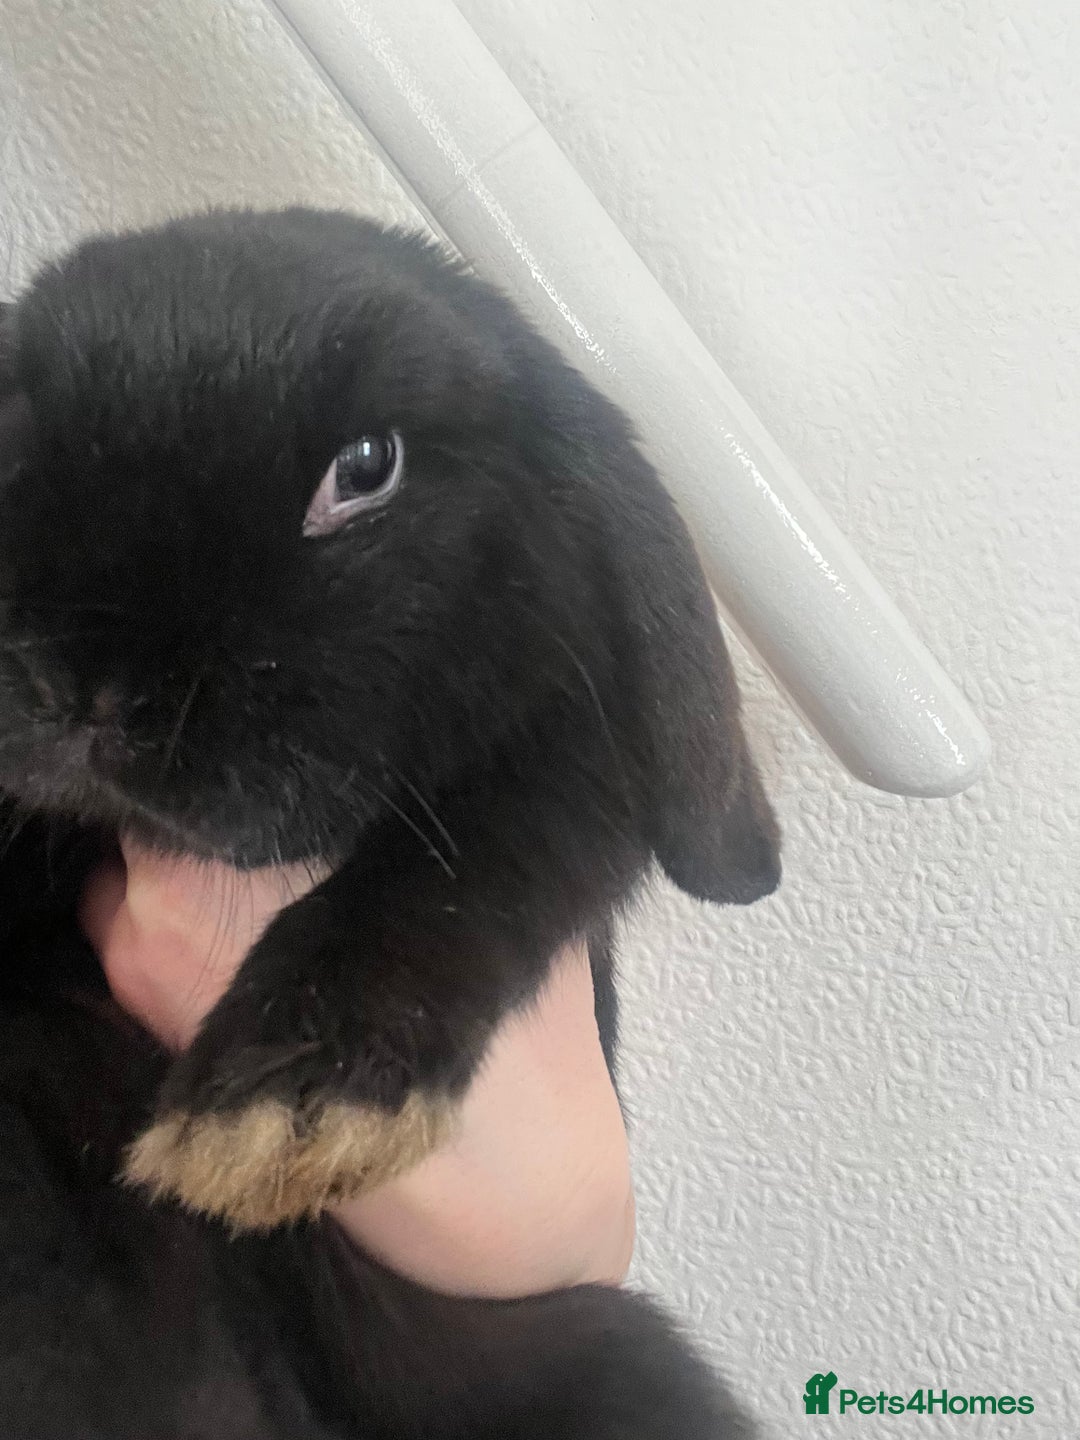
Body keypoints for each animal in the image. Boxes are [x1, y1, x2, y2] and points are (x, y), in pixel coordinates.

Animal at [0, 207, 779, 1437]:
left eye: (367, 469)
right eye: (18, 419)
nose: (74, 688)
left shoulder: (569, 750)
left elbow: (501, 834)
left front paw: (284, 1111)